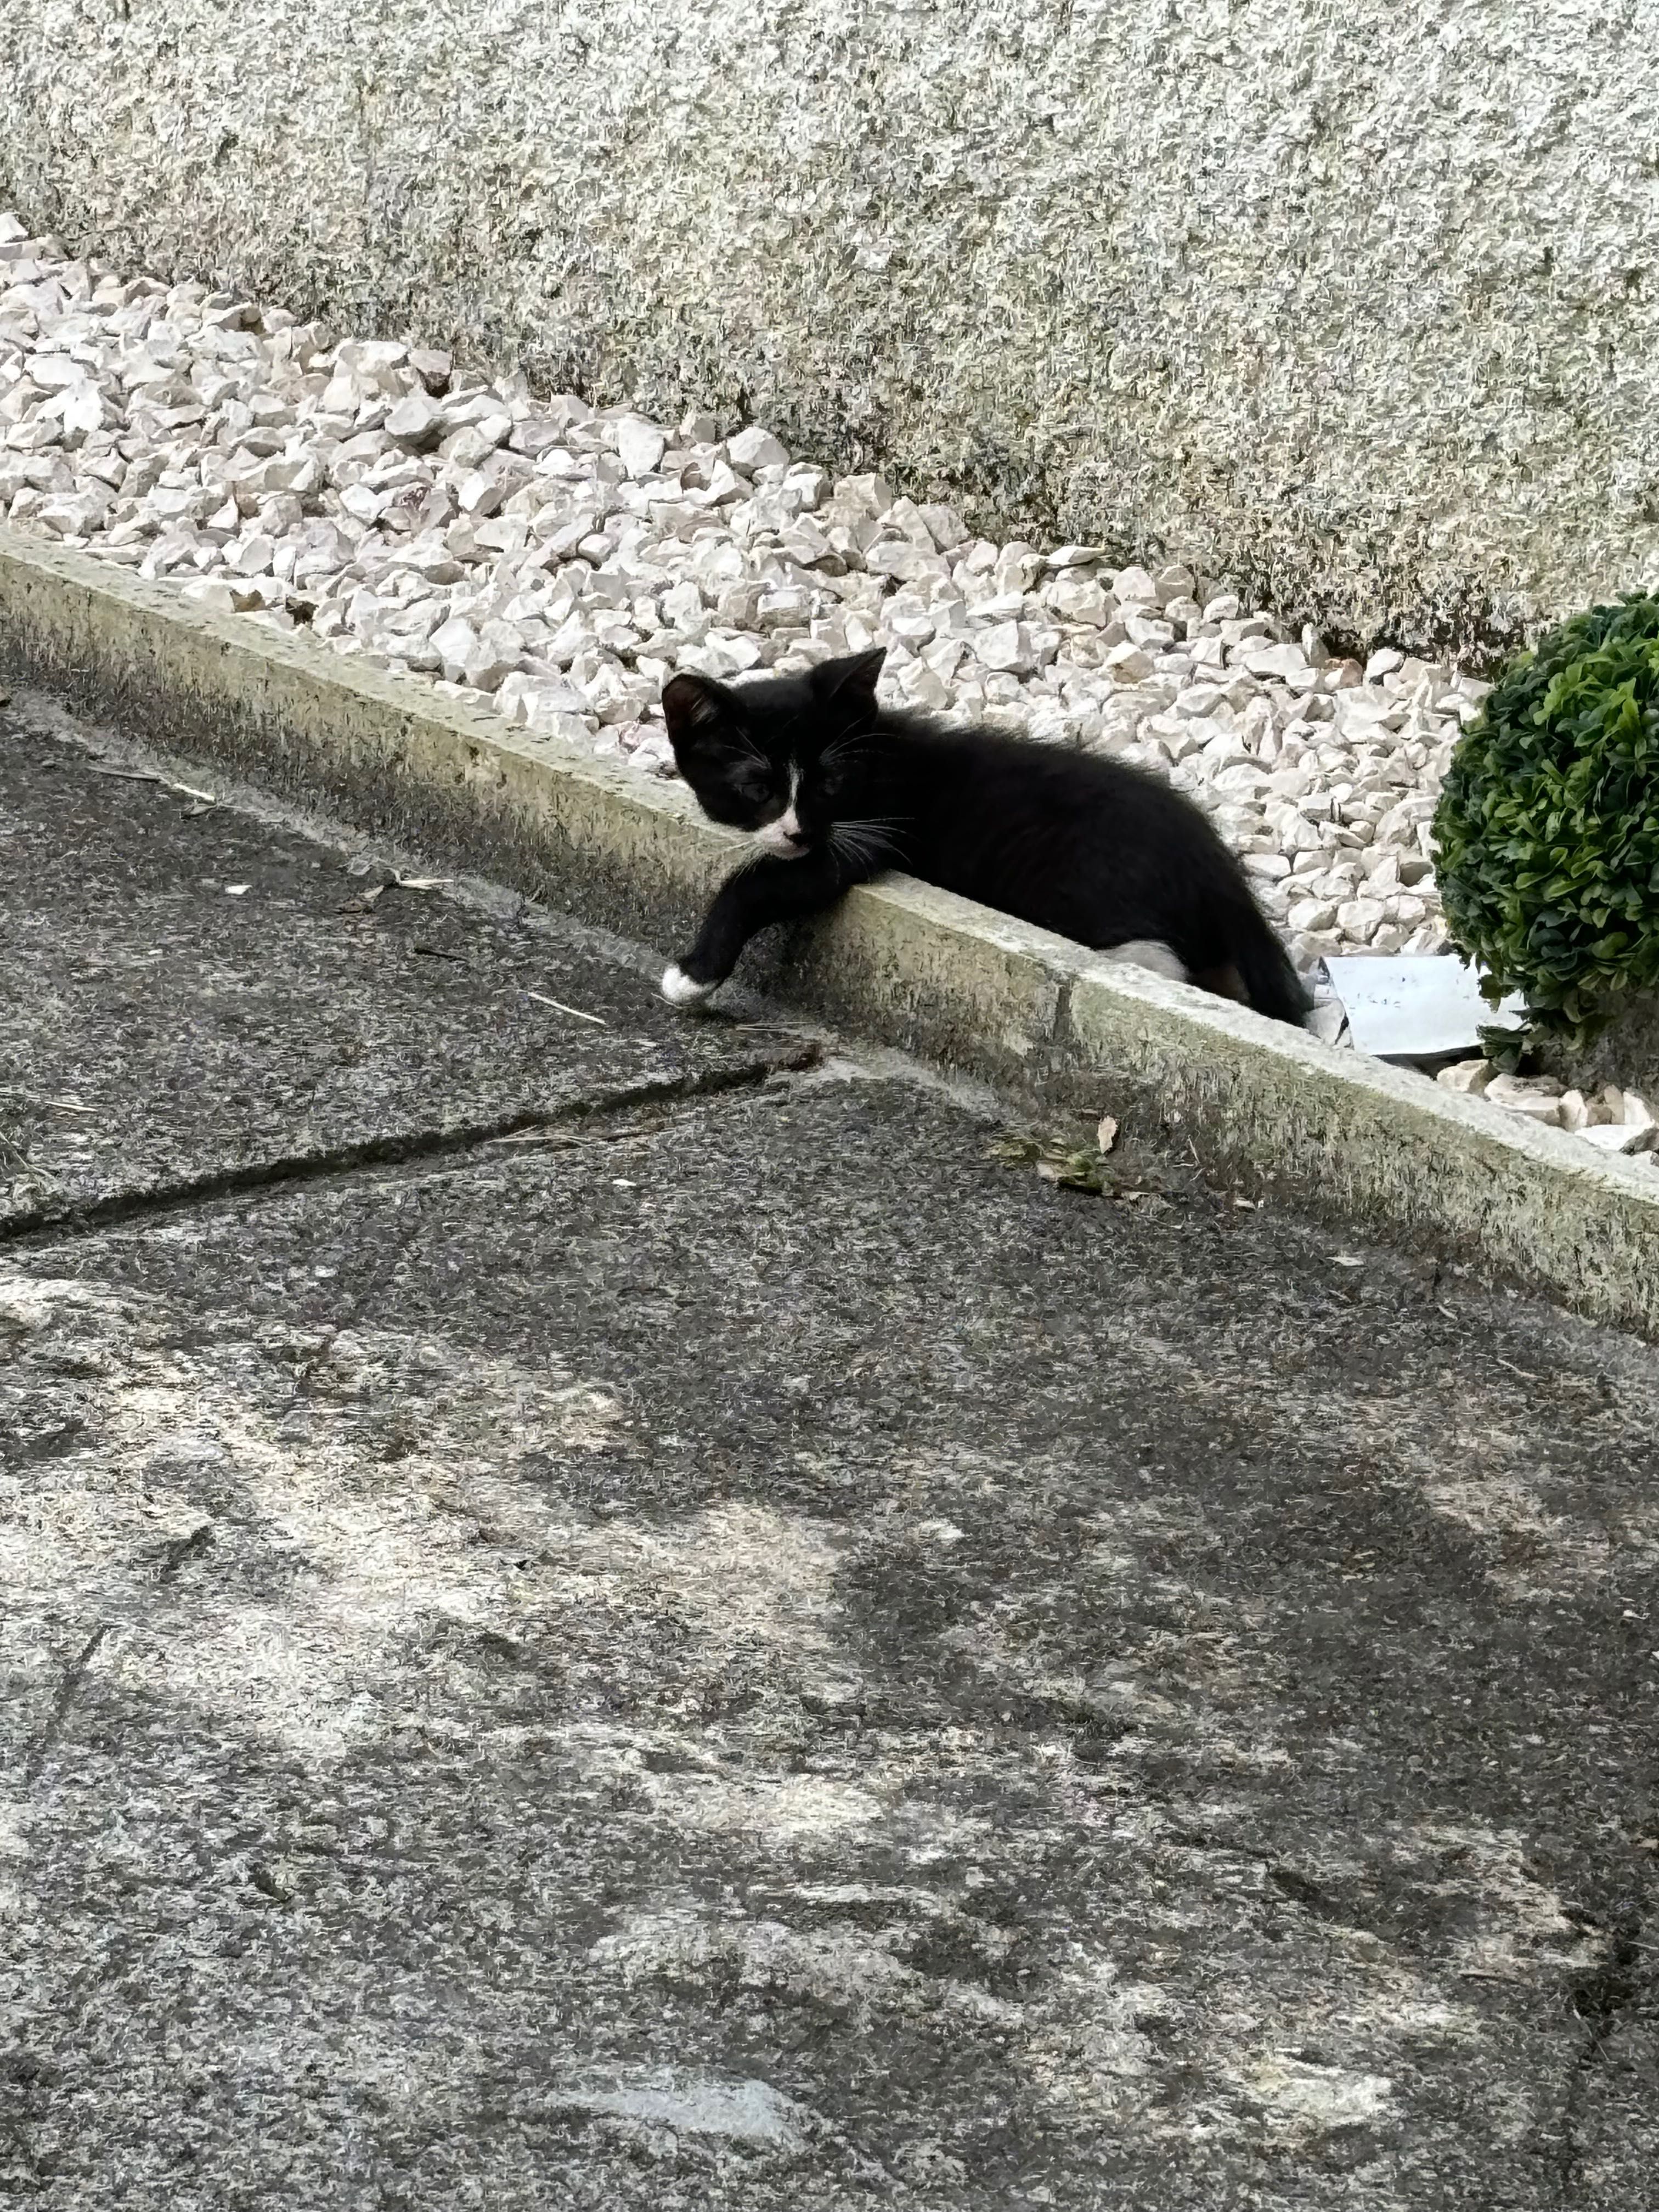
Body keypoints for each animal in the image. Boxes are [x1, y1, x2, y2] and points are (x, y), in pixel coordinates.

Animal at [663, 641, 1309, 1017]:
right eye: (757, 789)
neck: (878, 757)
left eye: (831, 782)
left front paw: (693, 974)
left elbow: (761, 882)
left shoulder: (867, 831)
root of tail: (1222, 874)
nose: (796, 832)